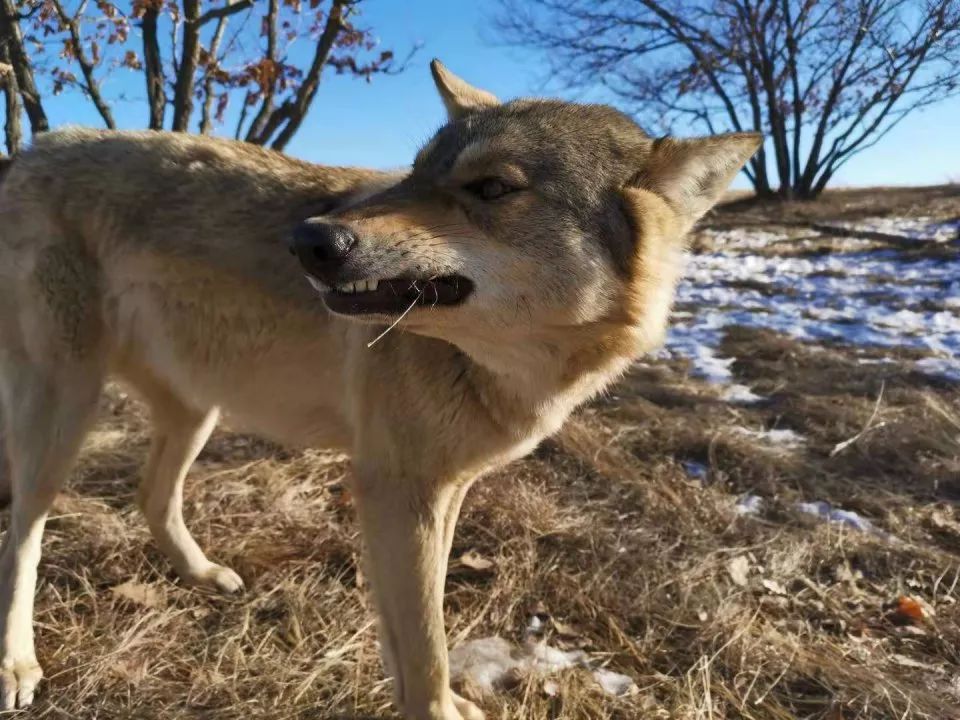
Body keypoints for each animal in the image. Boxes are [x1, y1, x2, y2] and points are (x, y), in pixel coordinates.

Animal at [0, 59, 756, 716]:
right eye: (418, 172)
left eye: (491, 188)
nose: (308, 241)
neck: (491, 365)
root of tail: (32, 150)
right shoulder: (395, 489)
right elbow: (424, 647)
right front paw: (439, 709)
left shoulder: (440, 492)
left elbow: (414, 636)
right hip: (64, 412)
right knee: (23, 531)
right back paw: (17, 665)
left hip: (195, 409)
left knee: (151, 495)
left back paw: (203, 575)